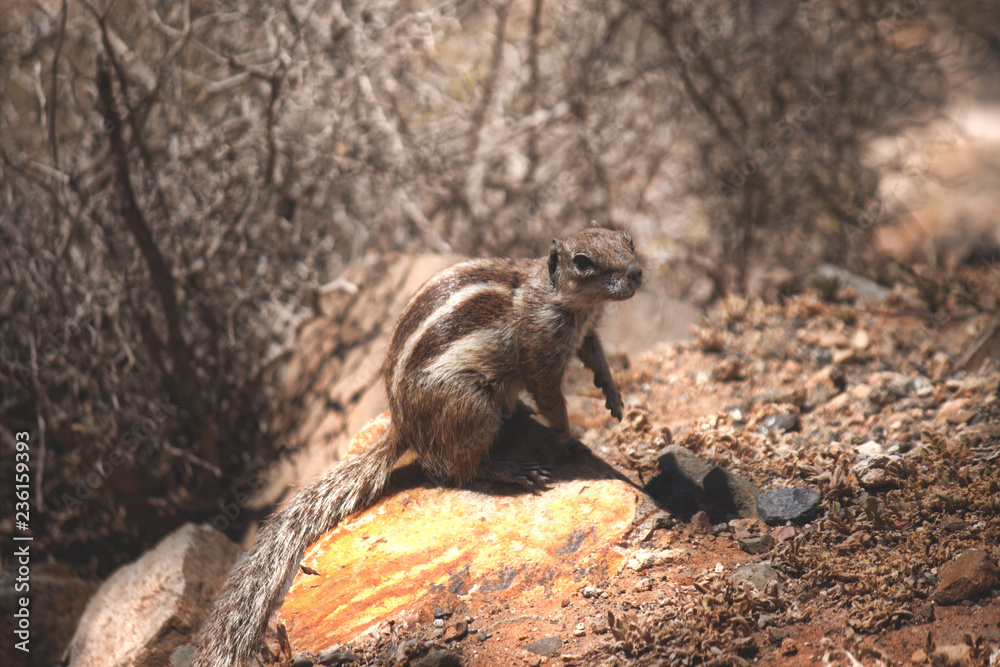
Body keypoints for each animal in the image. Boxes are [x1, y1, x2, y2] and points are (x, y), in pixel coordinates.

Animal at [194, 227, 642, 666]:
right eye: (582, 262)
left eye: (627, 239)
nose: (637, 273)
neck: (565, 300)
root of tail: (402, 425)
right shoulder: (539, 349)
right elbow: (551, 399)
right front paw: (570, 437)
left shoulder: (585, 332)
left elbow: (595, 353)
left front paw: (613, 394)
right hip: (472, 403)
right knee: (457, 468)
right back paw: (512, 469)